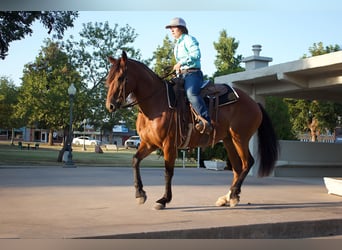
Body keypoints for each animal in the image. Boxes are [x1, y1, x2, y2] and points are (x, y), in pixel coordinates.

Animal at [105, 50, 280, 209]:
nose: (110, 105)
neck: (156, 102)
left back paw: (234, 194)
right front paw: (140, 194)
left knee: (247, 163)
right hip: (229, 140)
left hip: (240, 138)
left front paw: (164, 200)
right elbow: (135, 161)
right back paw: (229, 197)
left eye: (121, 78)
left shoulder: (169, 144)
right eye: (108, 79)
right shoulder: (149, 143)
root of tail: (254, 103)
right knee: (237, 168)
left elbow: (168, 171)